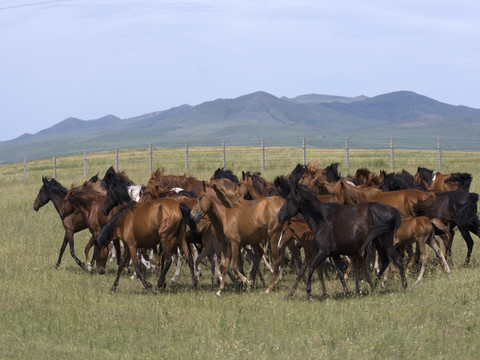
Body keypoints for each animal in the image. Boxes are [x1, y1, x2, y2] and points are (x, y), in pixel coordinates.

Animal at [276, 165, 406, 300]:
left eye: (289, 199)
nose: (279, 217)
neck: (322, 219)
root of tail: (393, 212)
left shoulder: (323, 252)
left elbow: (311, 269)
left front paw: (309, 294)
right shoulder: (335, 253)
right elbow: (339, 273)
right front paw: (347, 292)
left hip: (386, 243)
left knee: (397, 260)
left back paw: (403, 286)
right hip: (378, 244)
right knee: (385, 261)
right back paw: (374, 287)